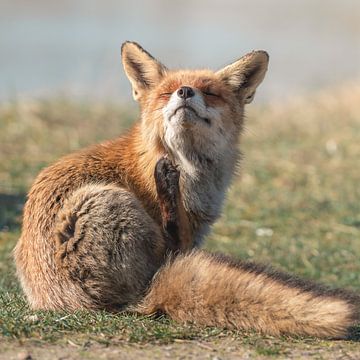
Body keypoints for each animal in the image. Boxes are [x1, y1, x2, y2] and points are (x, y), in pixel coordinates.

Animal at [12, 41, 358, 338]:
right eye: (167, 92)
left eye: (210, 92)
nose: (185, 91)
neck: (187, 166)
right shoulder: (188, 232)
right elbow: (180, 242)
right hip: (105, 201)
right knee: (169, 247)